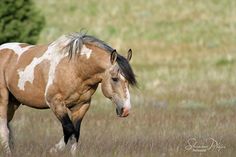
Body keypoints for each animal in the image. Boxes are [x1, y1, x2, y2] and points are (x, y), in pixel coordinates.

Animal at [0, 32, 136, 156]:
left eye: (128, 81)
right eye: (114, 78)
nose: (126, 110)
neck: (75, 68)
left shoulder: (81, 106)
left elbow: (75, 133)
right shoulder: (56, 103)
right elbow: (69, 129)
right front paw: (53, 150)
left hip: (13, 104)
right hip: (3, 100)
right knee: (4, 129)